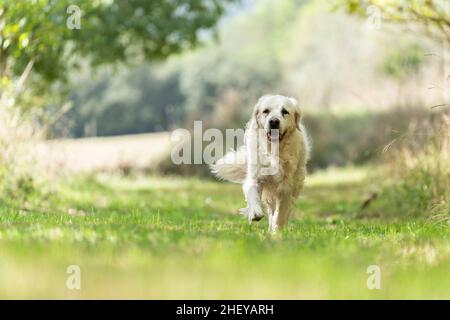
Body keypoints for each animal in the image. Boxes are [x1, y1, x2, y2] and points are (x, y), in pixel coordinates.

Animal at [210, 94, 310, 231]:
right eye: (265, 111)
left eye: (285, 111)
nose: (274, 121)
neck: (273, 150)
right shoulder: (255, 176)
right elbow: (252, 194)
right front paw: (255, 212)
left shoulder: (286, 186)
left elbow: (282, 210)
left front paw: (278, 228)